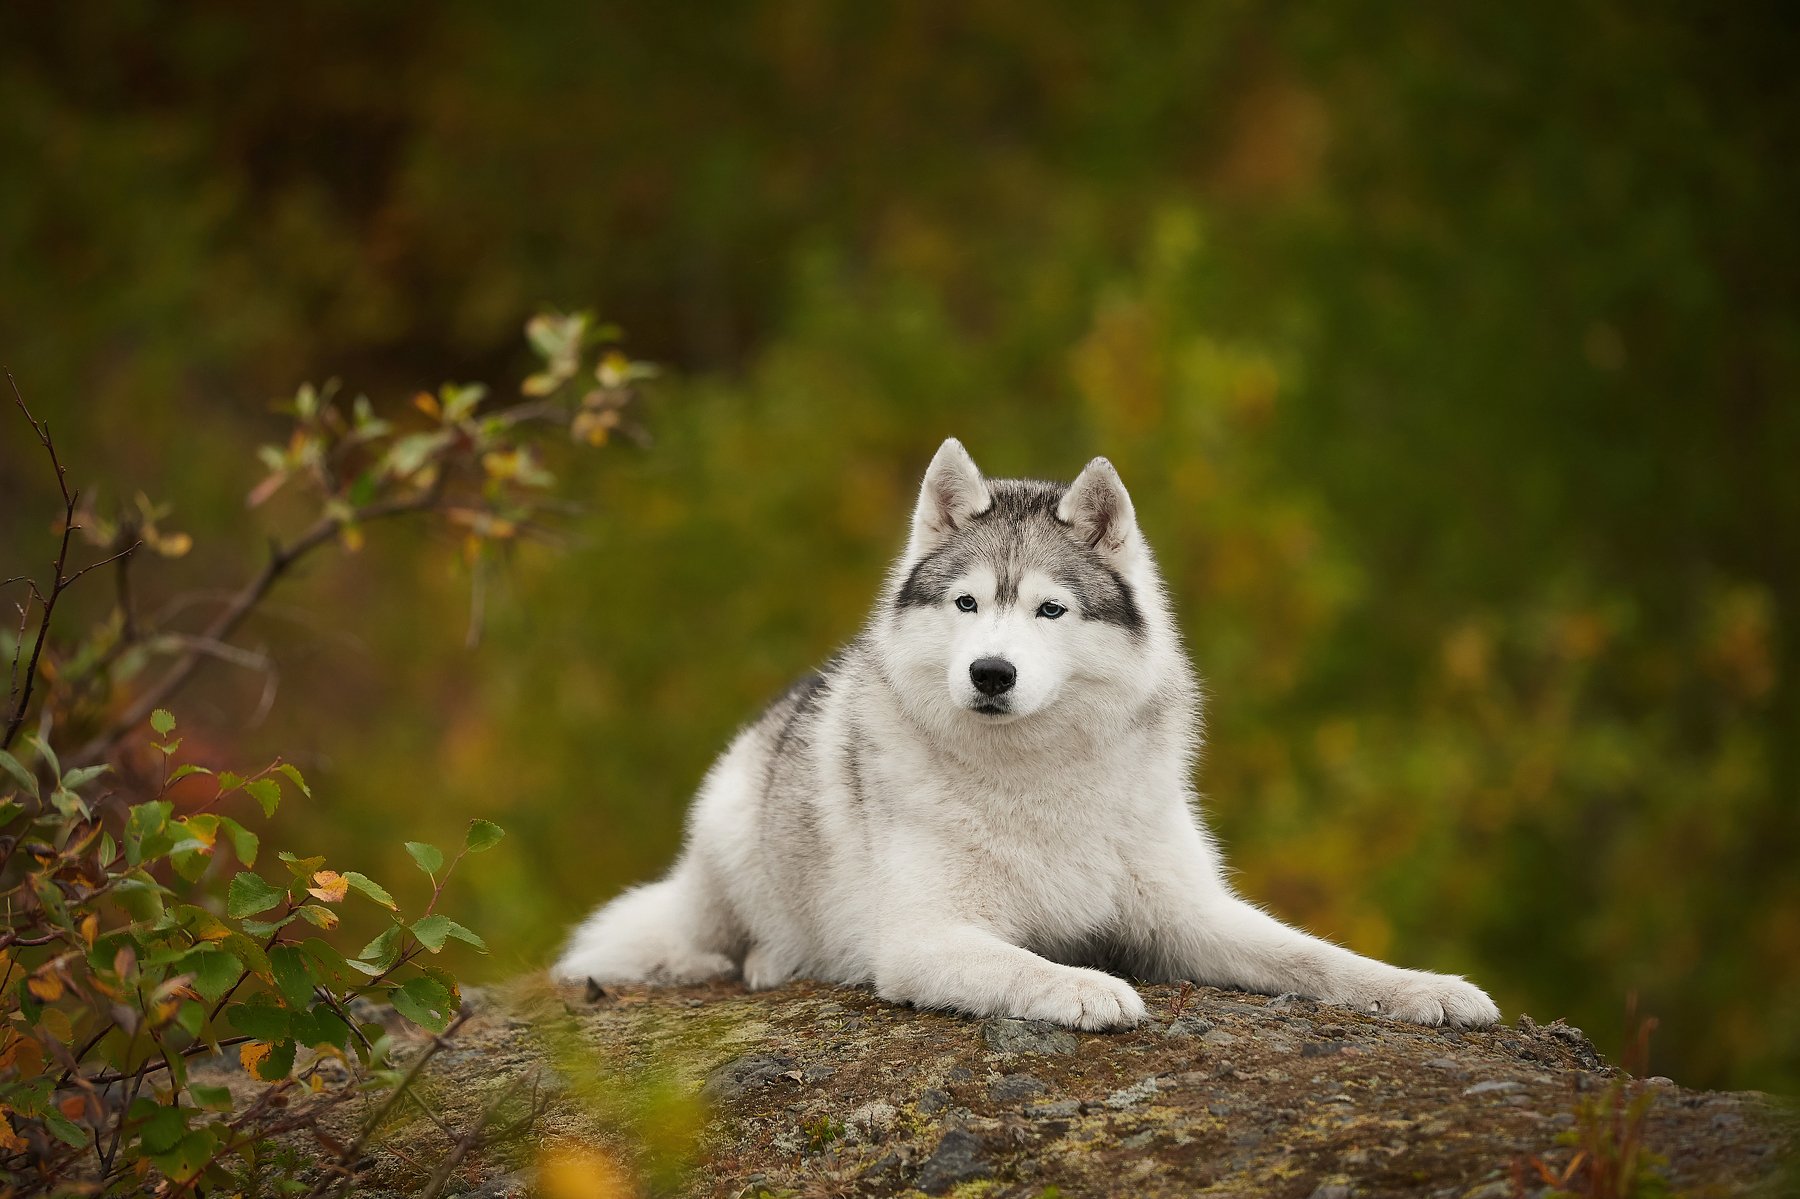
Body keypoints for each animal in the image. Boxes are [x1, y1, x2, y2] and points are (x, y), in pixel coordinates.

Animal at [550, 439, 1504, 1029]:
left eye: (1050, 609)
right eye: (968, 603)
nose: (991, 673)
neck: (1039, 777)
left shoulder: (1191, 917)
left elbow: (1323, 959)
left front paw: (1428, 989)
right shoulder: (927, 938)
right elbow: (1030, 965)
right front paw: (1089, 988)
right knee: (697, 937)